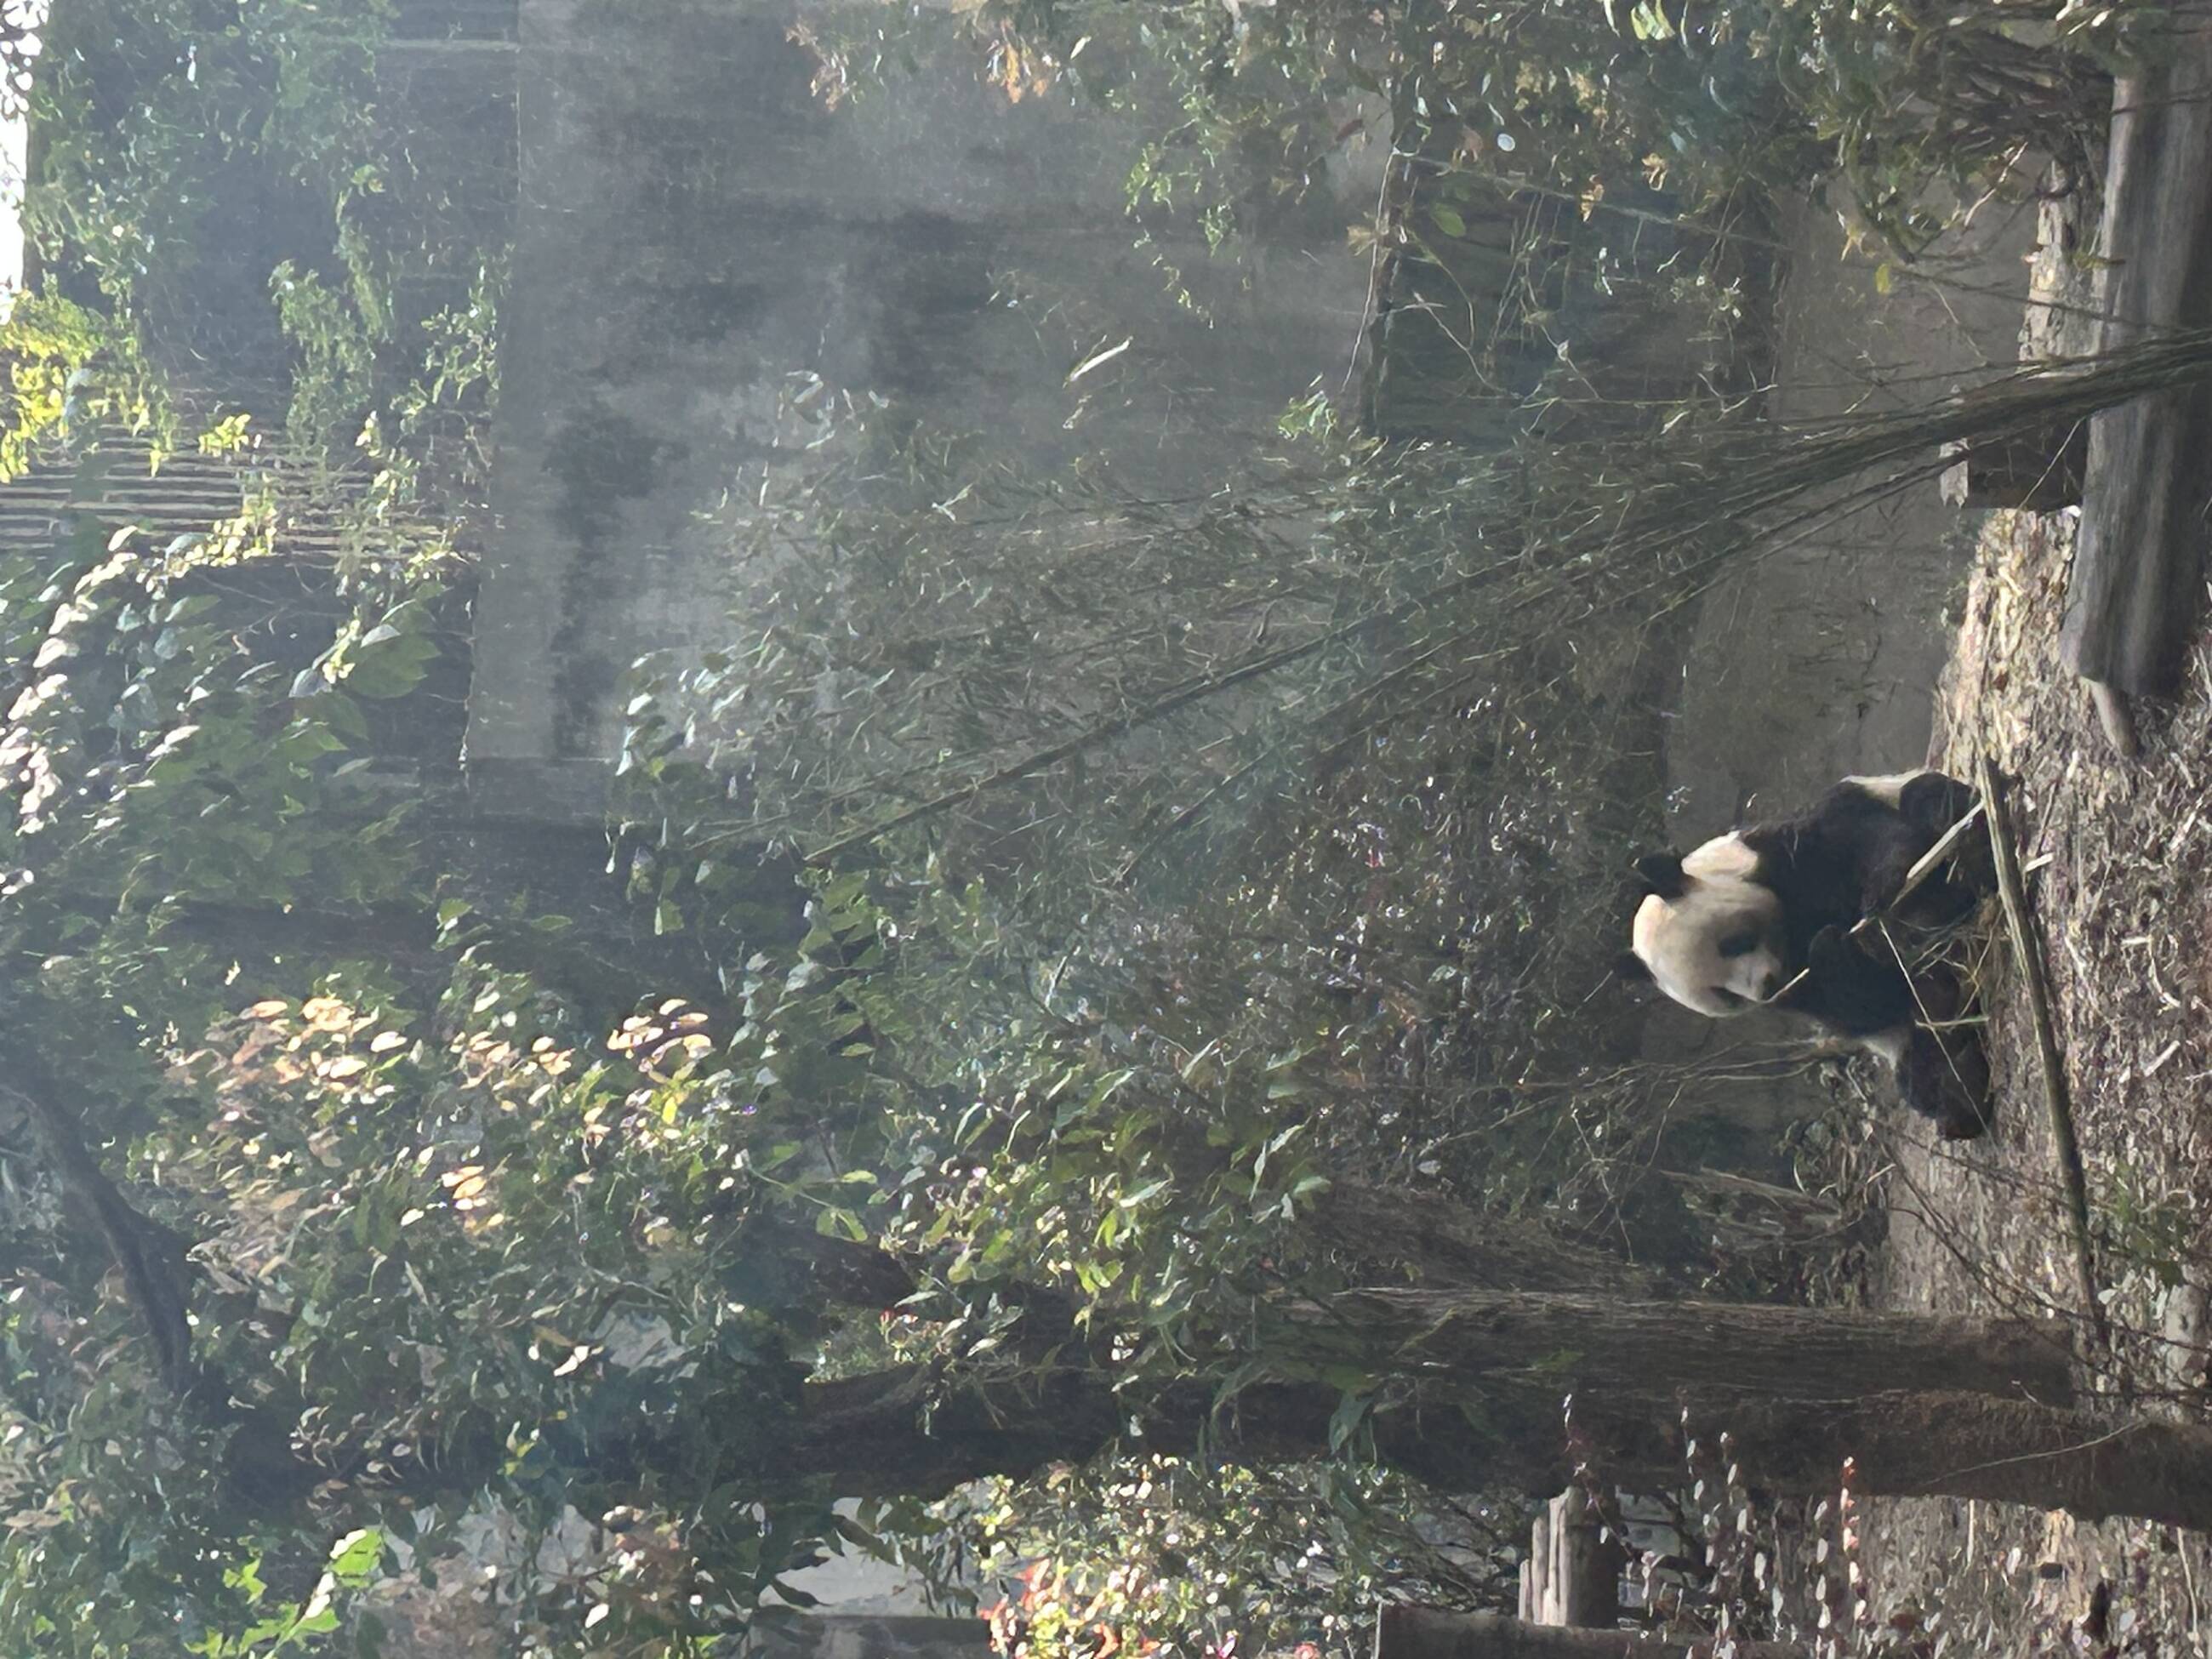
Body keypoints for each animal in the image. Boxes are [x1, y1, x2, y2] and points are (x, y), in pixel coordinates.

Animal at [1617, 768, 1995, 1138]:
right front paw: (1831, 949)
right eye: (1725, 995)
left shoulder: (1795, 848)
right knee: (1922, 1065)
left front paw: (1880, 895)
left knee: (1929, 799)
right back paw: (1958, 1101)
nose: (1767, 988)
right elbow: (1863, 1006)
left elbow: (1871, 840)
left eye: (1734, 943)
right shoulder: (1798, 991)